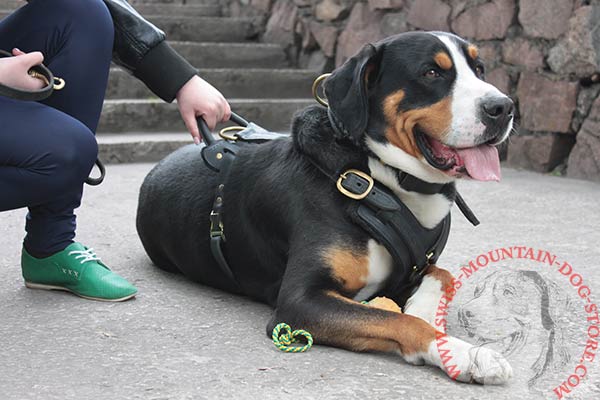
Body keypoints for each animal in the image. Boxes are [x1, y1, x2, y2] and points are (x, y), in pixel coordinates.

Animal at [136, 32, 516, 384]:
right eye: (431, 72)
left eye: (479, 69)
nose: (504, 107)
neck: (378, 178)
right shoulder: (300, 300)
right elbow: (399, 320)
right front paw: (464, 353)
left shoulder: (415, 266)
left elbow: (441, 275)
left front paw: (423, 307)